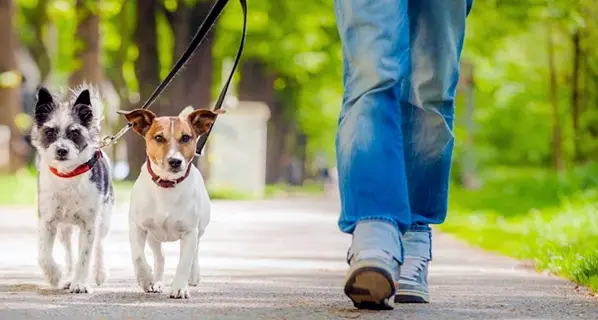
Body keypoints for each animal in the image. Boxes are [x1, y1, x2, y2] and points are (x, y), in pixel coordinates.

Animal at [29, 86, 115, 294]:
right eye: (50, 131)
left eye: (74, 133)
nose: (62, 150)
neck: (68, 175)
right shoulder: (47, 221)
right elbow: (44, 254)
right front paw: (55, 276)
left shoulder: (89, 225)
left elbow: (84, 256)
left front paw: (80, 284)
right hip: (64, 229)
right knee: (68, 252)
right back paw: (68, 277)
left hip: (104, 218)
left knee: (99, 245)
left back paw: (99, 273)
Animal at [118, 107, 224, 298]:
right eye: (159, 138)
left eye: (186, 138)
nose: (175, 161)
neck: (166, 185)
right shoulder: (138, 227)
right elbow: (138, 256)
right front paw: (146, 279)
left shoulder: (189, 232)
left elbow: (184, 262)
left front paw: (180, 287)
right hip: (153, 236)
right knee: (160, 257)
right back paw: (157, 282)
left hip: (200, 228)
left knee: (195, 252)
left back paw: (193, 275)